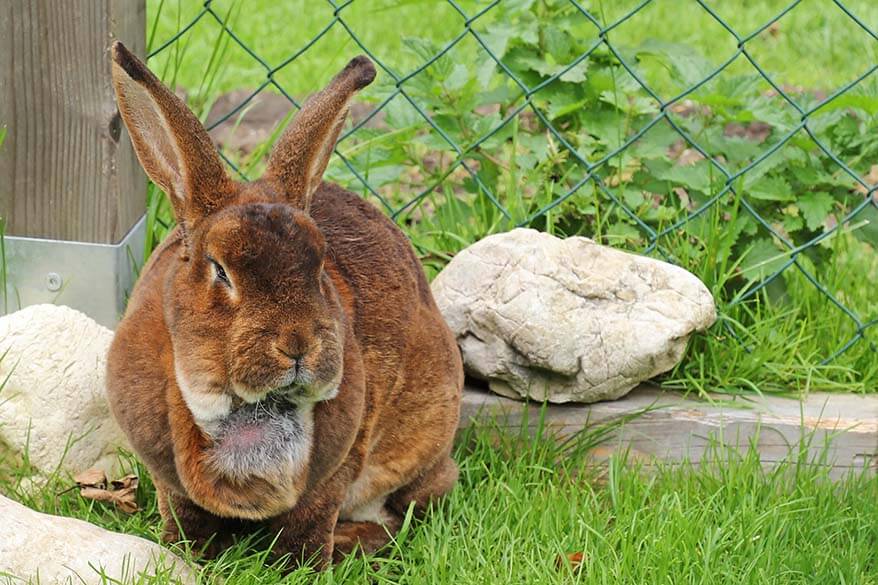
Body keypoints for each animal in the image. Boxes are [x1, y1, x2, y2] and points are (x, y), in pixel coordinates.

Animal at [106, 42, 464, 564]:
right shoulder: (169, 482)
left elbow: (307, 522)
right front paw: (188, 553)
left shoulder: (331, 478)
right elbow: (185, 517)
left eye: (320, 265)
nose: (297, 344)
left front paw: (302, 565)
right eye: (220, 271)